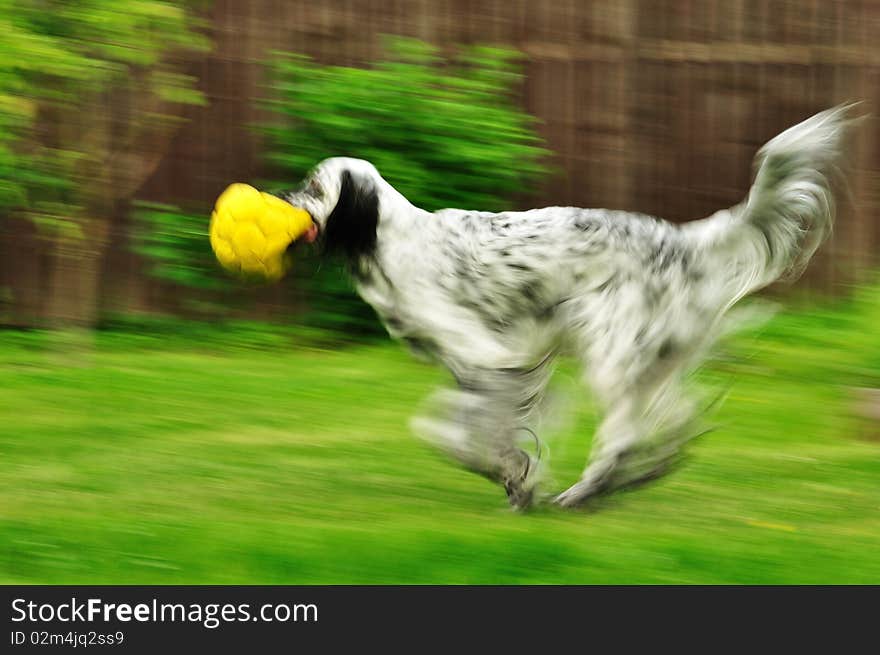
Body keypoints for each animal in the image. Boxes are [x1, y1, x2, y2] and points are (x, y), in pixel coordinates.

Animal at [284, 105, 860, 510]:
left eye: (313, 185)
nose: (283, 201)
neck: (391, 240)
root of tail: (684, 241)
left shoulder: (490, 357)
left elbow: (452, 434)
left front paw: (515, 477)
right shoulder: (478, 367)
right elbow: (459, 429)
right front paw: (516, 478)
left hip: (610, 353)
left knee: (626, 434)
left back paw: (584, 494)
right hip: (647, 357)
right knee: (676, 417)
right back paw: (633, 477)